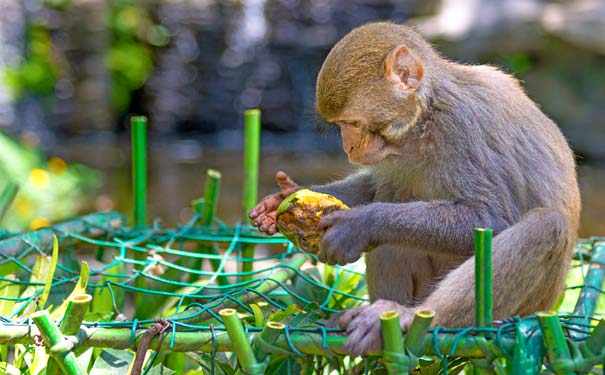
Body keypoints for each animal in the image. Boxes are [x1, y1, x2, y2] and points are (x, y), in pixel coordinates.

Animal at [248, 22, 580, 356]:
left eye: (352, 122)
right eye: (341, 125)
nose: (348, 147)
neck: (424, 121)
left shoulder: (462, 126)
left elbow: (491, 217)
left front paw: (360, 224)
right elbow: (374, 186)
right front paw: (281, 200)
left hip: (530, 306)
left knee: (546, 226)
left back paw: (411, 318)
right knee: (393, 205)